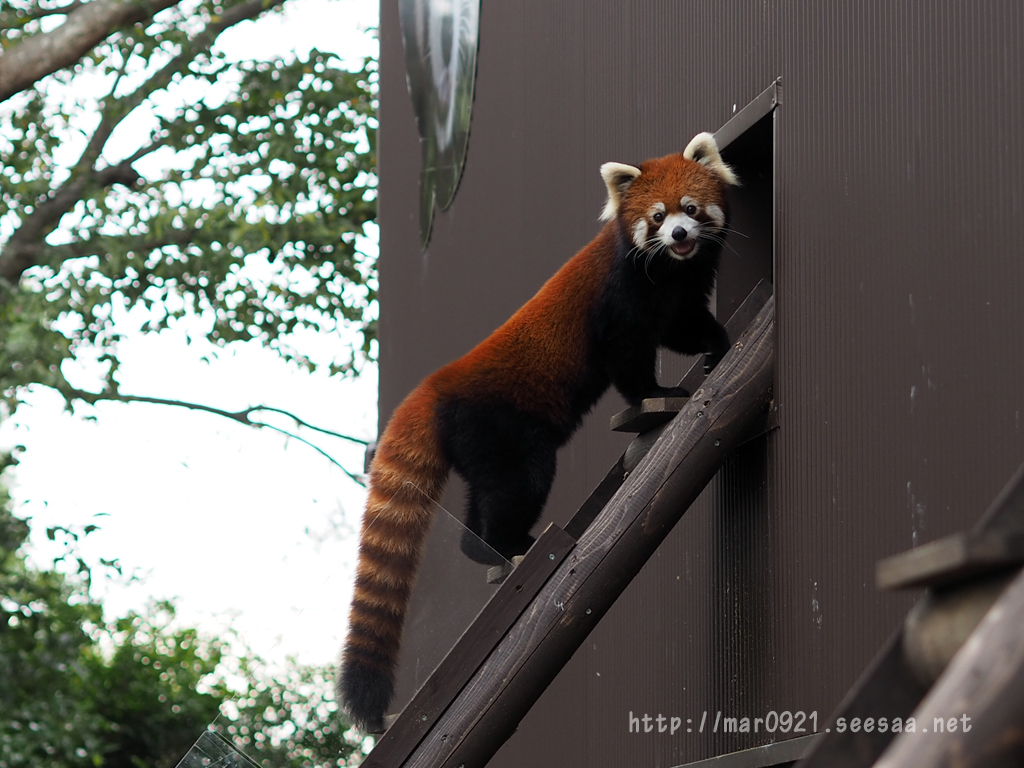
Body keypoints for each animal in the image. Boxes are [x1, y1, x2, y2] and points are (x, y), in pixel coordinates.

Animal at [339, 132, 741, 733]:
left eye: (690, 210)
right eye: (657, 216)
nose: (677, 234)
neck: (671, 270)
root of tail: (433, 390)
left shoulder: (681, 294)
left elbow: (686, 327)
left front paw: (718, 344)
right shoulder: (621, 298)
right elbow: (629, 357)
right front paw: (658, 392)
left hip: (481, 449)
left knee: (485, 500)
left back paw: (490, 548)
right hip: (503, 432)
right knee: (520, 484)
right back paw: (512, 544)